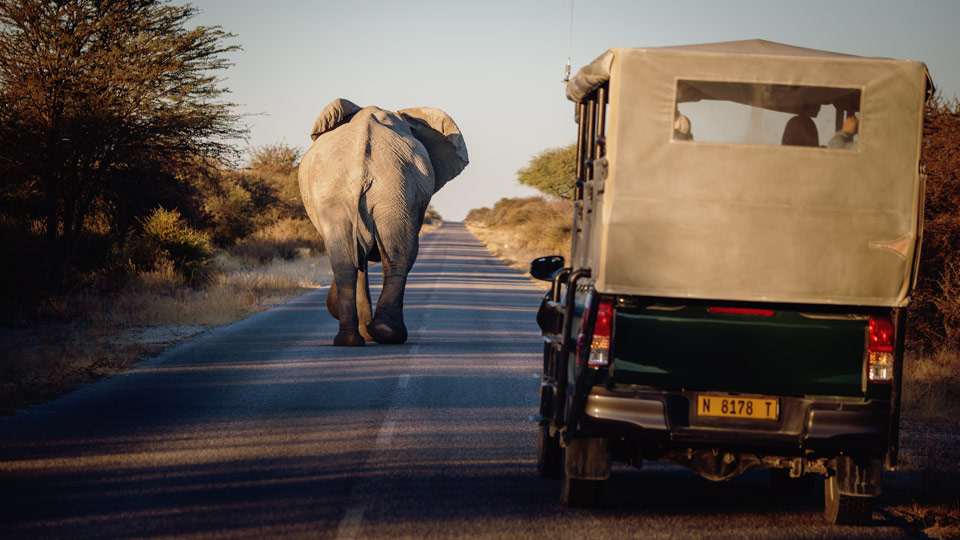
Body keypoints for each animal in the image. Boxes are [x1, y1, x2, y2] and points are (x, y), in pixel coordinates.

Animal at [298, 98, 466, 346]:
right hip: (378, 190)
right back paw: (378, 335)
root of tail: (361, 167)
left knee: (356, 260)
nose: (331, 306)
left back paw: (362, 338)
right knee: (393, 257)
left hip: (389, 190)